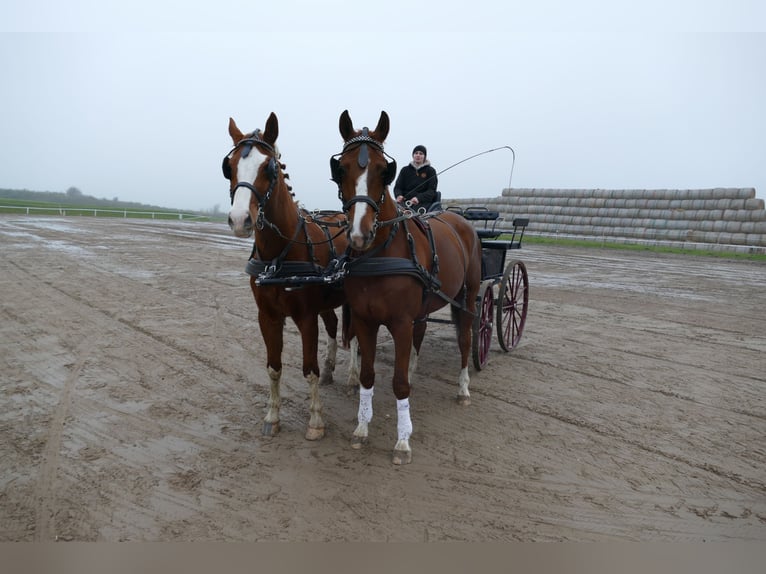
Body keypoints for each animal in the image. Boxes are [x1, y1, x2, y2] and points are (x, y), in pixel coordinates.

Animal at [224, 112, 355, 440]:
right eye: (229, 166)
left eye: (268, 168)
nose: (240, 220)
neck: (278, 256)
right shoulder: (267, 316)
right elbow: (274, 366)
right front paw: (272, 416)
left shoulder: (305, 316)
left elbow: (309, 369)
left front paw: (316, 420)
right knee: (333, 325)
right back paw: (332, 369)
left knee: (356, 336)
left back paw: (354, 376)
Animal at [330, 110, 482, 464]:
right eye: (340, 168)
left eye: (383, 170)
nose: (359, 233)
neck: (380, 254)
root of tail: (459, 218)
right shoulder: (365, 320)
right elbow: (368, 375)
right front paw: (362, 428)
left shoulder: (399, 322)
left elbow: (398, 384)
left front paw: (402, 441)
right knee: (421, 332)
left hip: (468, 295)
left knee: (466, 338)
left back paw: (463, 387)